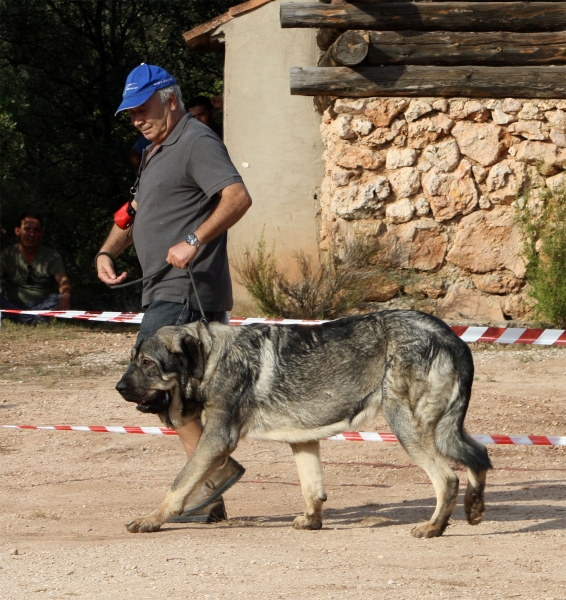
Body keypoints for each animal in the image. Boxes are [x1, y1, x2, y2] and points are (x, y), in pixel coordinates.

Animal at [117, 312, 494, 536]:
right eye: (133, 360)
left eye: (148, 363)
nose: (119, 387)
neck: (212, 357)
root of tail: (450, 337)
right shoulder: (302, 439)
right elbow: (312, 488)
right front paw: (312, 520)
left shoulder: (216, 439)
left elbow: (178, 484)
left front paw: (152, 519)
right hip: (444, 429)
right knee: (480, 456)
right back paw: (474, 508)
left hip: (406, 425)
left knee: (447, 478)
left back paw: (434, 526)